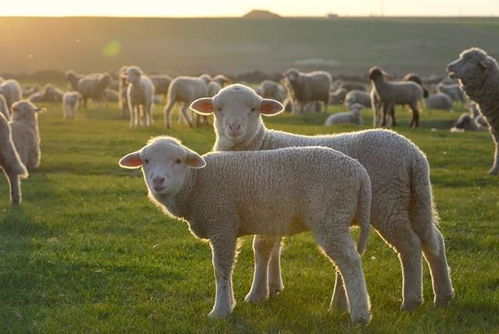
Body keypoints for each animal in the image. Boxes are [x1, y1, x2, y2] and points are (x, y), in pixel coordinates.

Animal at [119, 136, 374, 324]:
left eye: (178, 160)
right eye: (145, 161)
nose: (158, 180)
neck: (196, 183)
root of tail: (360, 171)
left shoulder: (221, 223)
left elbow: (221, 269)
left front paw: (220, 310)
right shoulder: (225, 226)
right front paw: (230, 304)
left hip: (329, 215)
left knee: (350, 262)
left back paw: (360, 315)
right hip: (337, 218)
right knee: (344, 263)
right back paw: (340, 306)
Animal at [191, 84, 458, 314]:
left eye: (254, 109)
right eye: (218, 108)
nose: (234, 127)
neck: (259, 144)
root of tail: (414, 155)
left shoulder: (266, 204)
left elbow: (262, 249)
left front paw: (256, 294)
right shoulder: (273, 210)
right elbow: (275, 248)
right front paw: (274, 287)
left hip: (388, 203)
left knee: (410, 245)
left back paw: (411, 301)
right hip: (416, 200)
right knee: (433, 241)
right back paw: (443, 296)